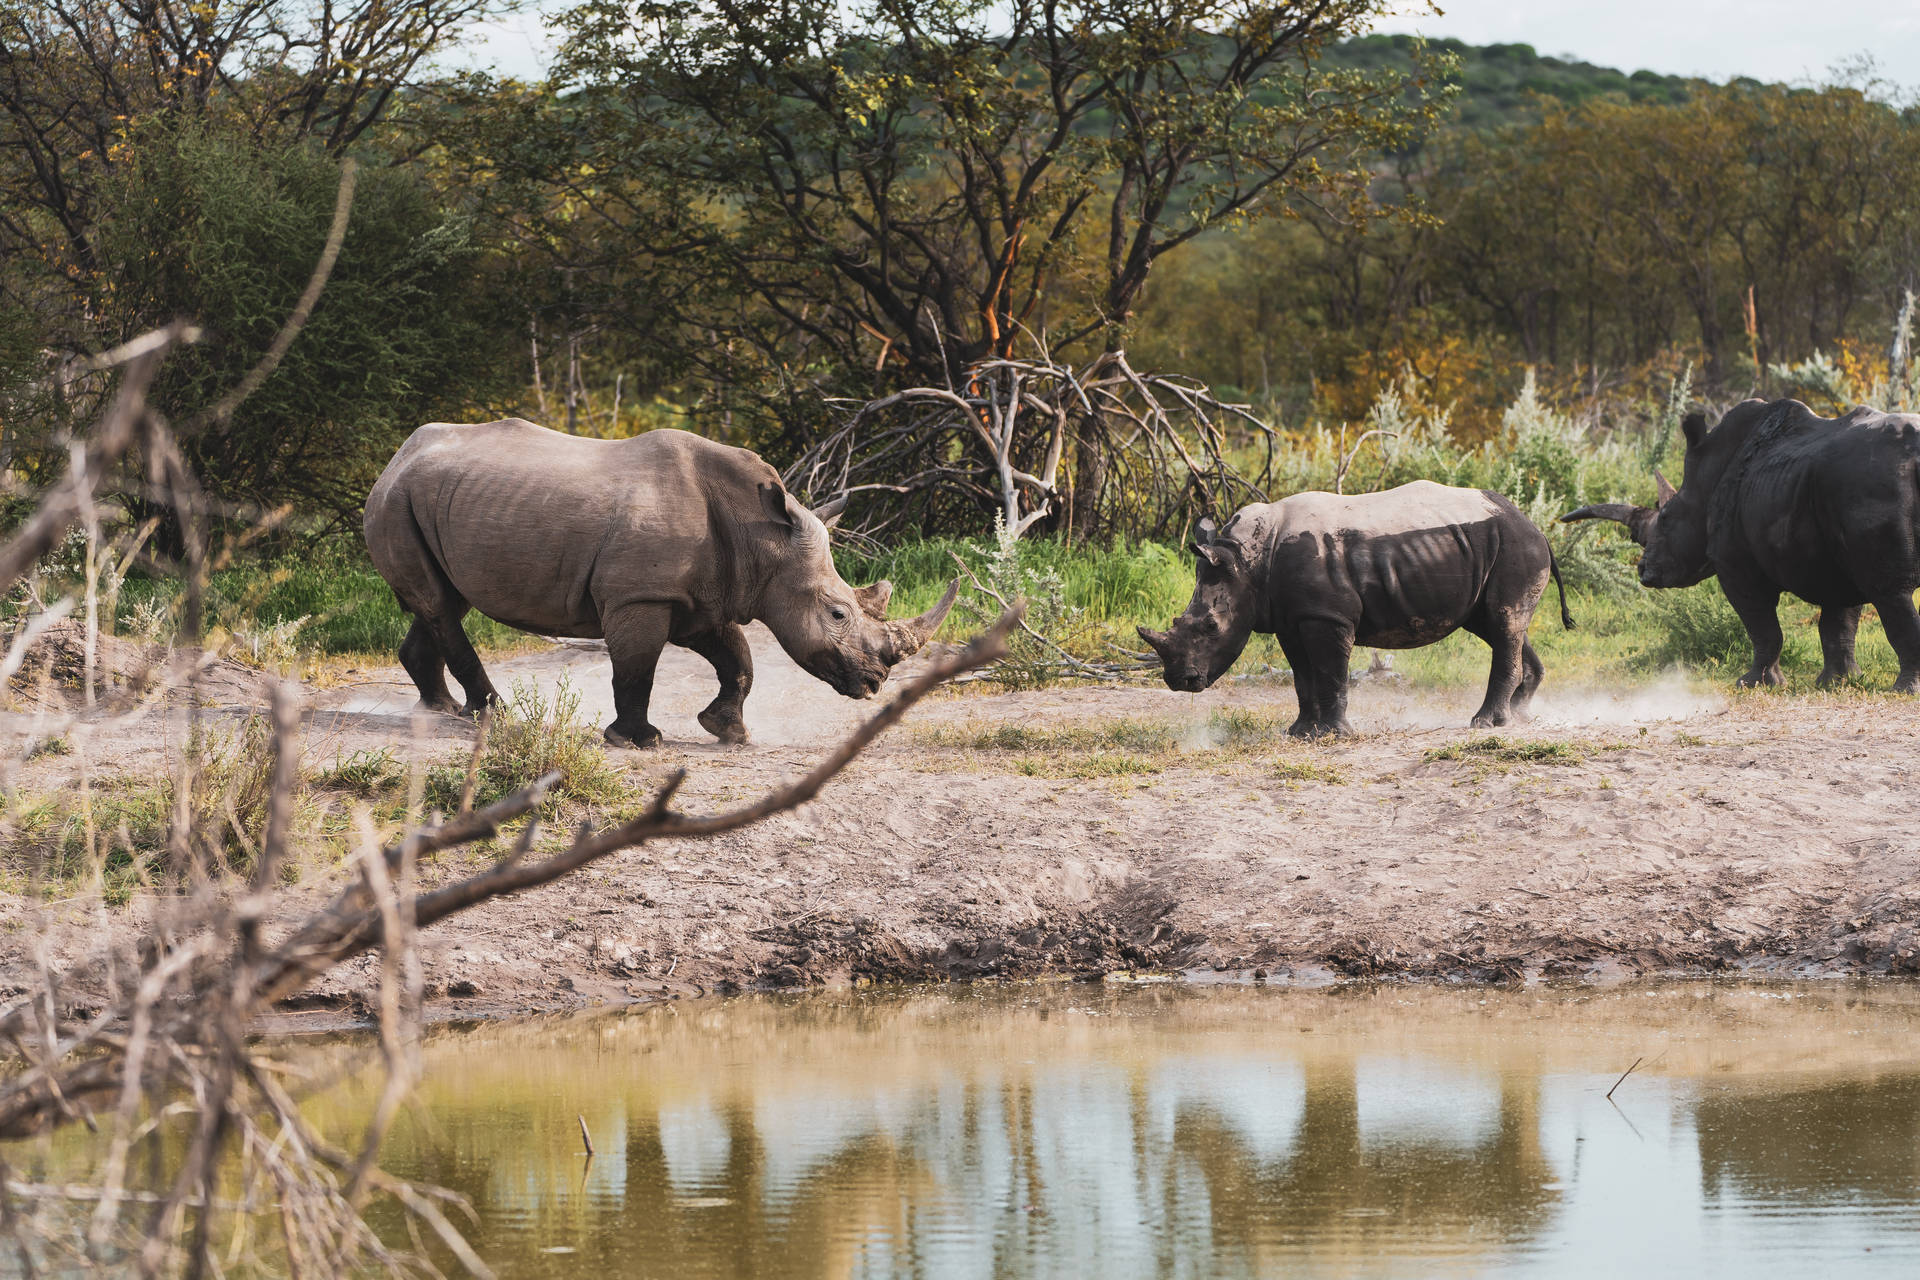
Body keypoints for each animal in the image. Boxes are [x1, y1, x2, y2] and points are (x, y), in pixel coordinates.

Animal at [362, 420, 956, 744]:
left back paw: (439, 711)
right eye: (837, 613)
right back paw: (491, 715)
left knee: (443, 601)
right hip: (395, 501)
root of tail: (399, 453)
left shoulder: (704, 597)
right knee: (439, 605)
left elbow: (739, 661)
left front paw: (727, 732)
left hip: (434, 500)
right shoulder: (639, 596)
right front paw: (637, 741)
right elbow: (638, 668)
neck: (763, 538)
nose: (875, 683)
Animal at [1136, 479, 1574, 736]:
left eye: (1211, 627)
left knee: (1503, 622)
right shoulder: (1291, 618)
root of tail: (1536, 526)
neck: (1246, 559)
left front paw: (1335, 735)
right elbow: (1302, 677)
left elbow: (1331, 672)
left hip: (1514, 546)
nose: (1179, 681)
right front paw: (1299, 732)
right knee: (1498, 626)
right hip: (1491, 548)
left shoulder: (1326, 616)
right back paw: (1519, 715)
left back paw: (1485, 724)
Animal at [1559, 401, 1920, 694]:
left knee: (1892, 593)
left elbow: (1762, 627)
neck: (1703, 484)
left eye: (1666, 519)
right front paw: (1836, 682)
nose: (1643, 570)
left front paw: (1751, 683)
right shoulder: (1836, 559)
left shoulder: (1734, 564)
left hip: (1872, 482)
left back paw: (1904, 690)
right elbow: (1838, 622)